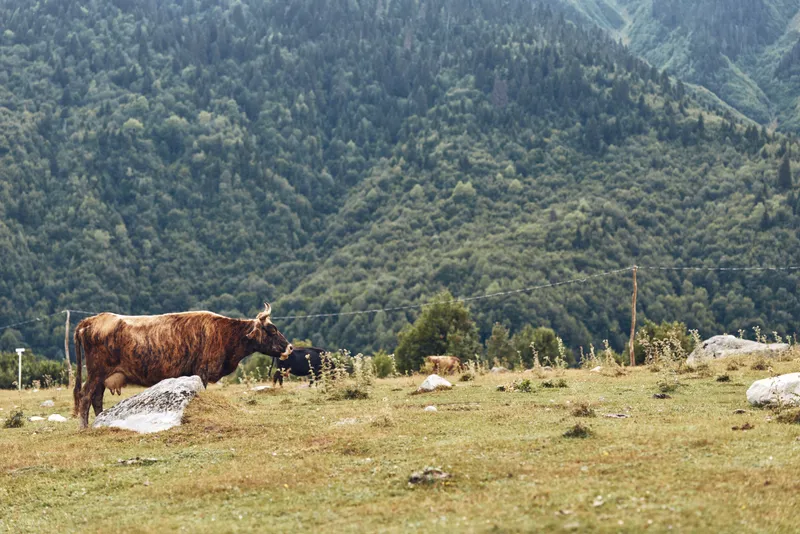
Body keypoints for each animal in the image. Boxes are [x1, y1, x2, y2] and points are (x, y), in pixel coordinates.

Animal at [72, 303, 292, 429]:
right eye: (273, 329)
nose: (290, 347)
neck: (224, 334)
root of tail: (91, 320)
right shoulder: (202, 371)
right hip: (96, 372)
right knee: (85, 396)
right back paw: (84, 427)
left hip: (102, 376)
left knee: (96, 398)